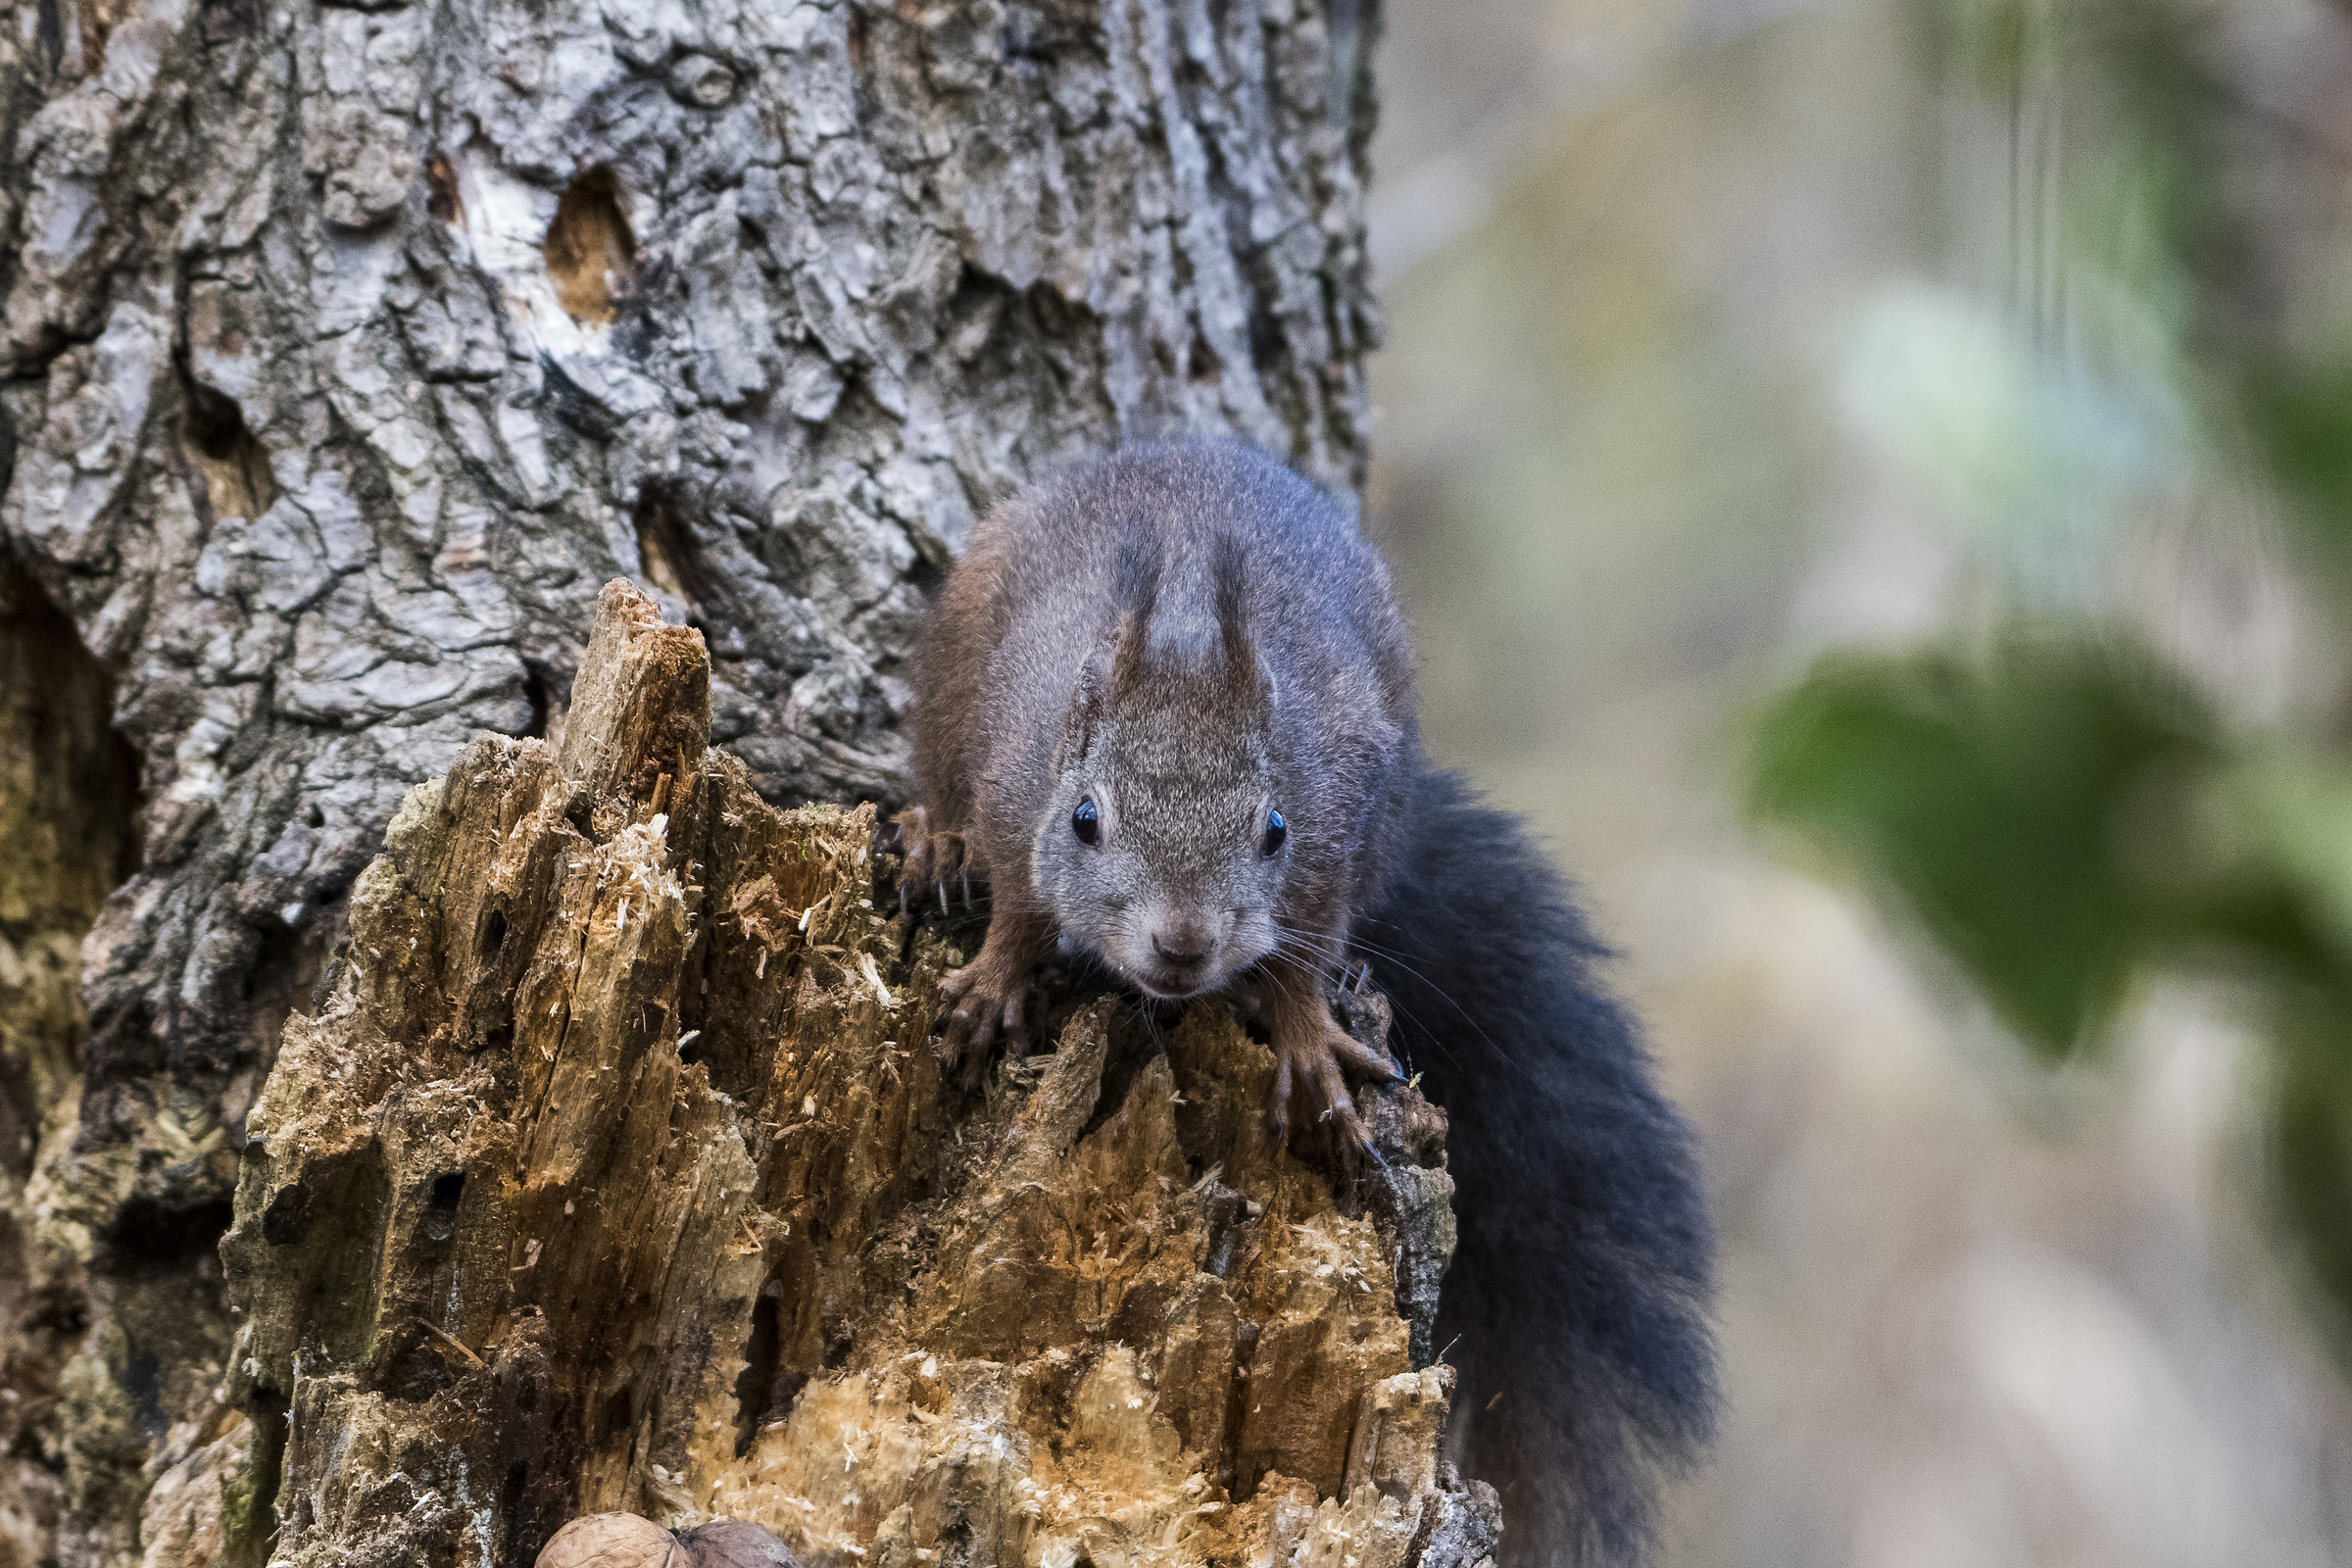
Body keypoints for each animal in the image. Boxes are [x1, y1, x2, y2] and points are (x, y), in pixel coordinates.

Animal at [885, 440, 1716, 1567]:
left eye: (1273, 828)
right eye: (1086, 818)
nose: (1184, 946)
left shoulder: (1330, 843)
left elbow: (1304, 958)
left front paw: (1312, 1044)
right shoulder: (1019, 794)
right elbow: (1017, 904)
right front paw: (992, 984)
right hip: (952, 664)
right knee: (941, 779)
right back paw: (935, 840)